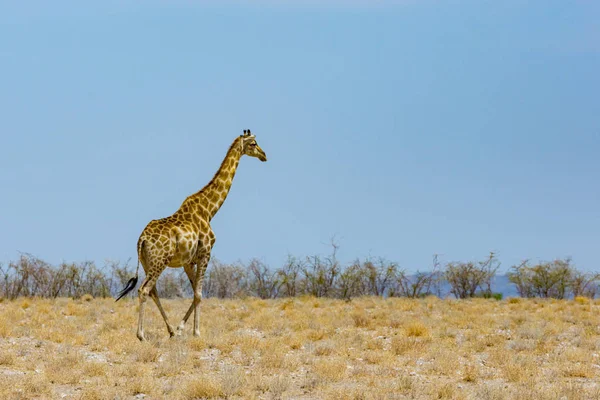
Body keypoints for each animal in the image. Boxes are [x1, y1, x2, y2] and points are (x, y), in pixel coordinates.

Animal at [116, 128, 266, 340]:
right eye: (253, 143)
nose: (264, 155)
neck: (209, 210)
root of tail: (142, 239)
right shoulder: (206, 253)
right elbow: (199, 294)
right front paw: (196, 331)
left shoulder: (188, 261)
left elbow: (195, 291)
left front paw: (180, 329)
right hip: (159, 261)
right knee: (144, 290)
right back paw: (142, 335)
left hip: (147, 263)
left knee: (153, 291)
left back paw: (170, 330)